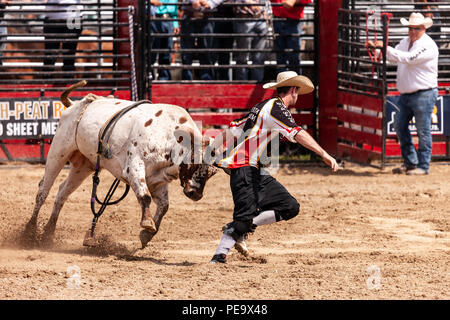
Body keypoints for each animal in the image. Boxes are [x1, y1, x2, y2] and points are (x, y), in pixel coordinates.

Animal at [24, 81, 218, 249]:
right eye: (194, 161)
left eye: (211, 172)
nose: (196, 194)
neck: (167, 135)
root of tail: (75, 105)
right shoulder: (135, 167)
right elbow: (145, 196)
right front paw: (147, 224)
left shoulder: (157, 179)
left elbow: (164, 206)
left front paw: (147, 234)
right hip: (58, 152)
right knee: (43, 191)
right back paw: (29, 231)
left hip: (83, 166)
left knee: (62, 192)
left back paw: (49, 233)